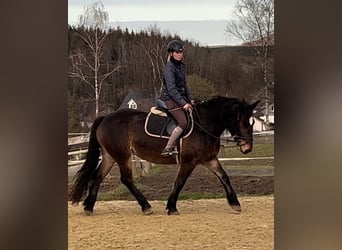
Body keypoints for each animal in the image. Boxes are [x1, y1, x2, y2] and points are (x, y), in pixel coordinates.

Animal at [69, 95, 260, 215]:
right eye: (243, 122)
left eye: (252, 122)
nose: (247, 148)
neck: (204, 125)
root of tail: (105, 118)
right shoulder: (188, 162)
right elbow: (179, 182)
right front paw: (171, 207)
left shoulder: (210, 159)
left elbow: (224, 177)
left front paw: (235, 204)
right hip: (122, 156)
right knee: (126, 179)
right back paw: (146, 206)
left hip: (110, 156)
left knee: (97, 177)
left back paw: (88, 207)